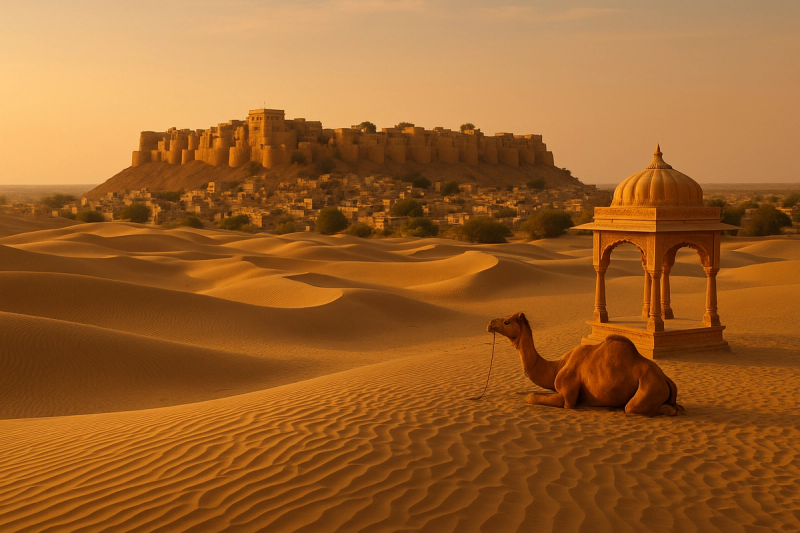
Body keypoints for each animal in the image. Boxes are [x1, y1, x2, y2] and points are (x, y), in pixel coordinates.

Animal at [487, 312, 684, 416]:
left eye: (507, 321)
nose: (490, 323)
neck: (557, 367)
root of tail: (666, 379)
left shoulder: (567, 396)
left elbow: (531, 397)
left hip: (648, 387)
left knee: (635, 407)